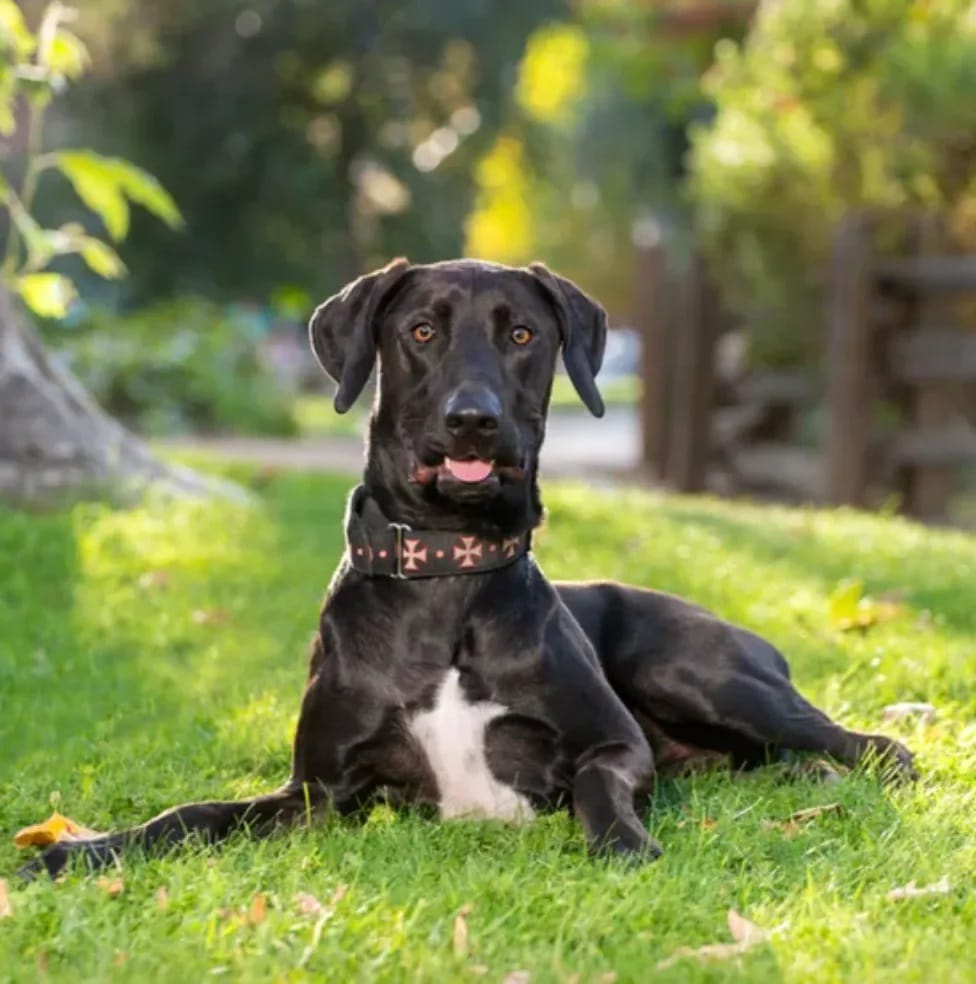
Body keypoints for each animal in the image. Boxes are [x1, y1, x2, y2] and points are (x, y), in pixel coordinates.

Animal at [15, 258, 916, 880]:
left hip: (692, 669)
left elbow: (596, 786)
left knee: (875, 744)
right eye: (421, 332)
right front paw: (76, 853)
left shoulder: (615, 744)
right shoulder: (315, 795)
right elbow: (189, 814)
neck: (445, 572)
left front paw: (625, 845)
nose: (473, 420)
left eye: (523, 335)